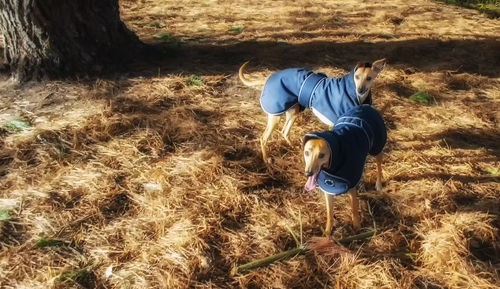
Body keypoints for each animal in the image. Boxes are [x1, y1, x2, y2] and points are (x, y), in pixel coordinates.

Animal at [240, 59, 384, 162]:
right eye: (357, 77)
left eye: (369, 78)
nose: (360, 89)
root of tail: (269, 77)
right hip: (275, 116)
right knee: (263, 138)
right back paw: (266, 159)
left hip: (293, 113)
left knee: (284, 132)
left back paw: (293, 146)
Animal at [300, 104, 386, 235]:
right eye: (306, 152)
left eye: (322, 155)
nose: (308, 173)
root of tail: (367, 106)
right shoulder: (328, 188)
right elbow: (330, 213)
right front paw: (328, 232)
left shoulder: (351, 187)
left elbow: (354, 209)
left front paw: (357, 227)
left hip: (377, 148)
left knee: (379, 166)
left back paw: (379, 184)